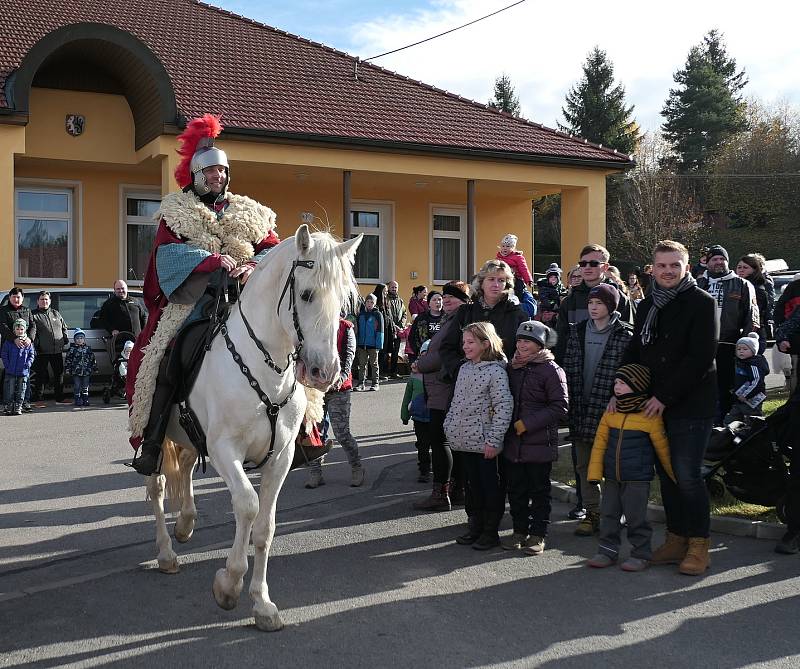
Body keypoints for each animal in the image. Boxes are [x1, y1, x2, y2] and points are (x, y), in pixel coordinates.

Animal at [145, 226, 360, 632]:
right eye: (306, 294)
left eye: (343, 298)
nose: (325, 372)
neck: (265, 369)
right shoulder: (226, 450)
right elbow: (247, 505)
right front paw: (228, 584)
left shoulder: (282, 457)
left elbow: (266, 527)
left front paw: (261, 603)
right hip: (158, 435)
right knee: (158, 487)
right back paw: (166, 552)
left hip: (191, 438)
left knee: (186, 468)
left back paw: (186, 523)